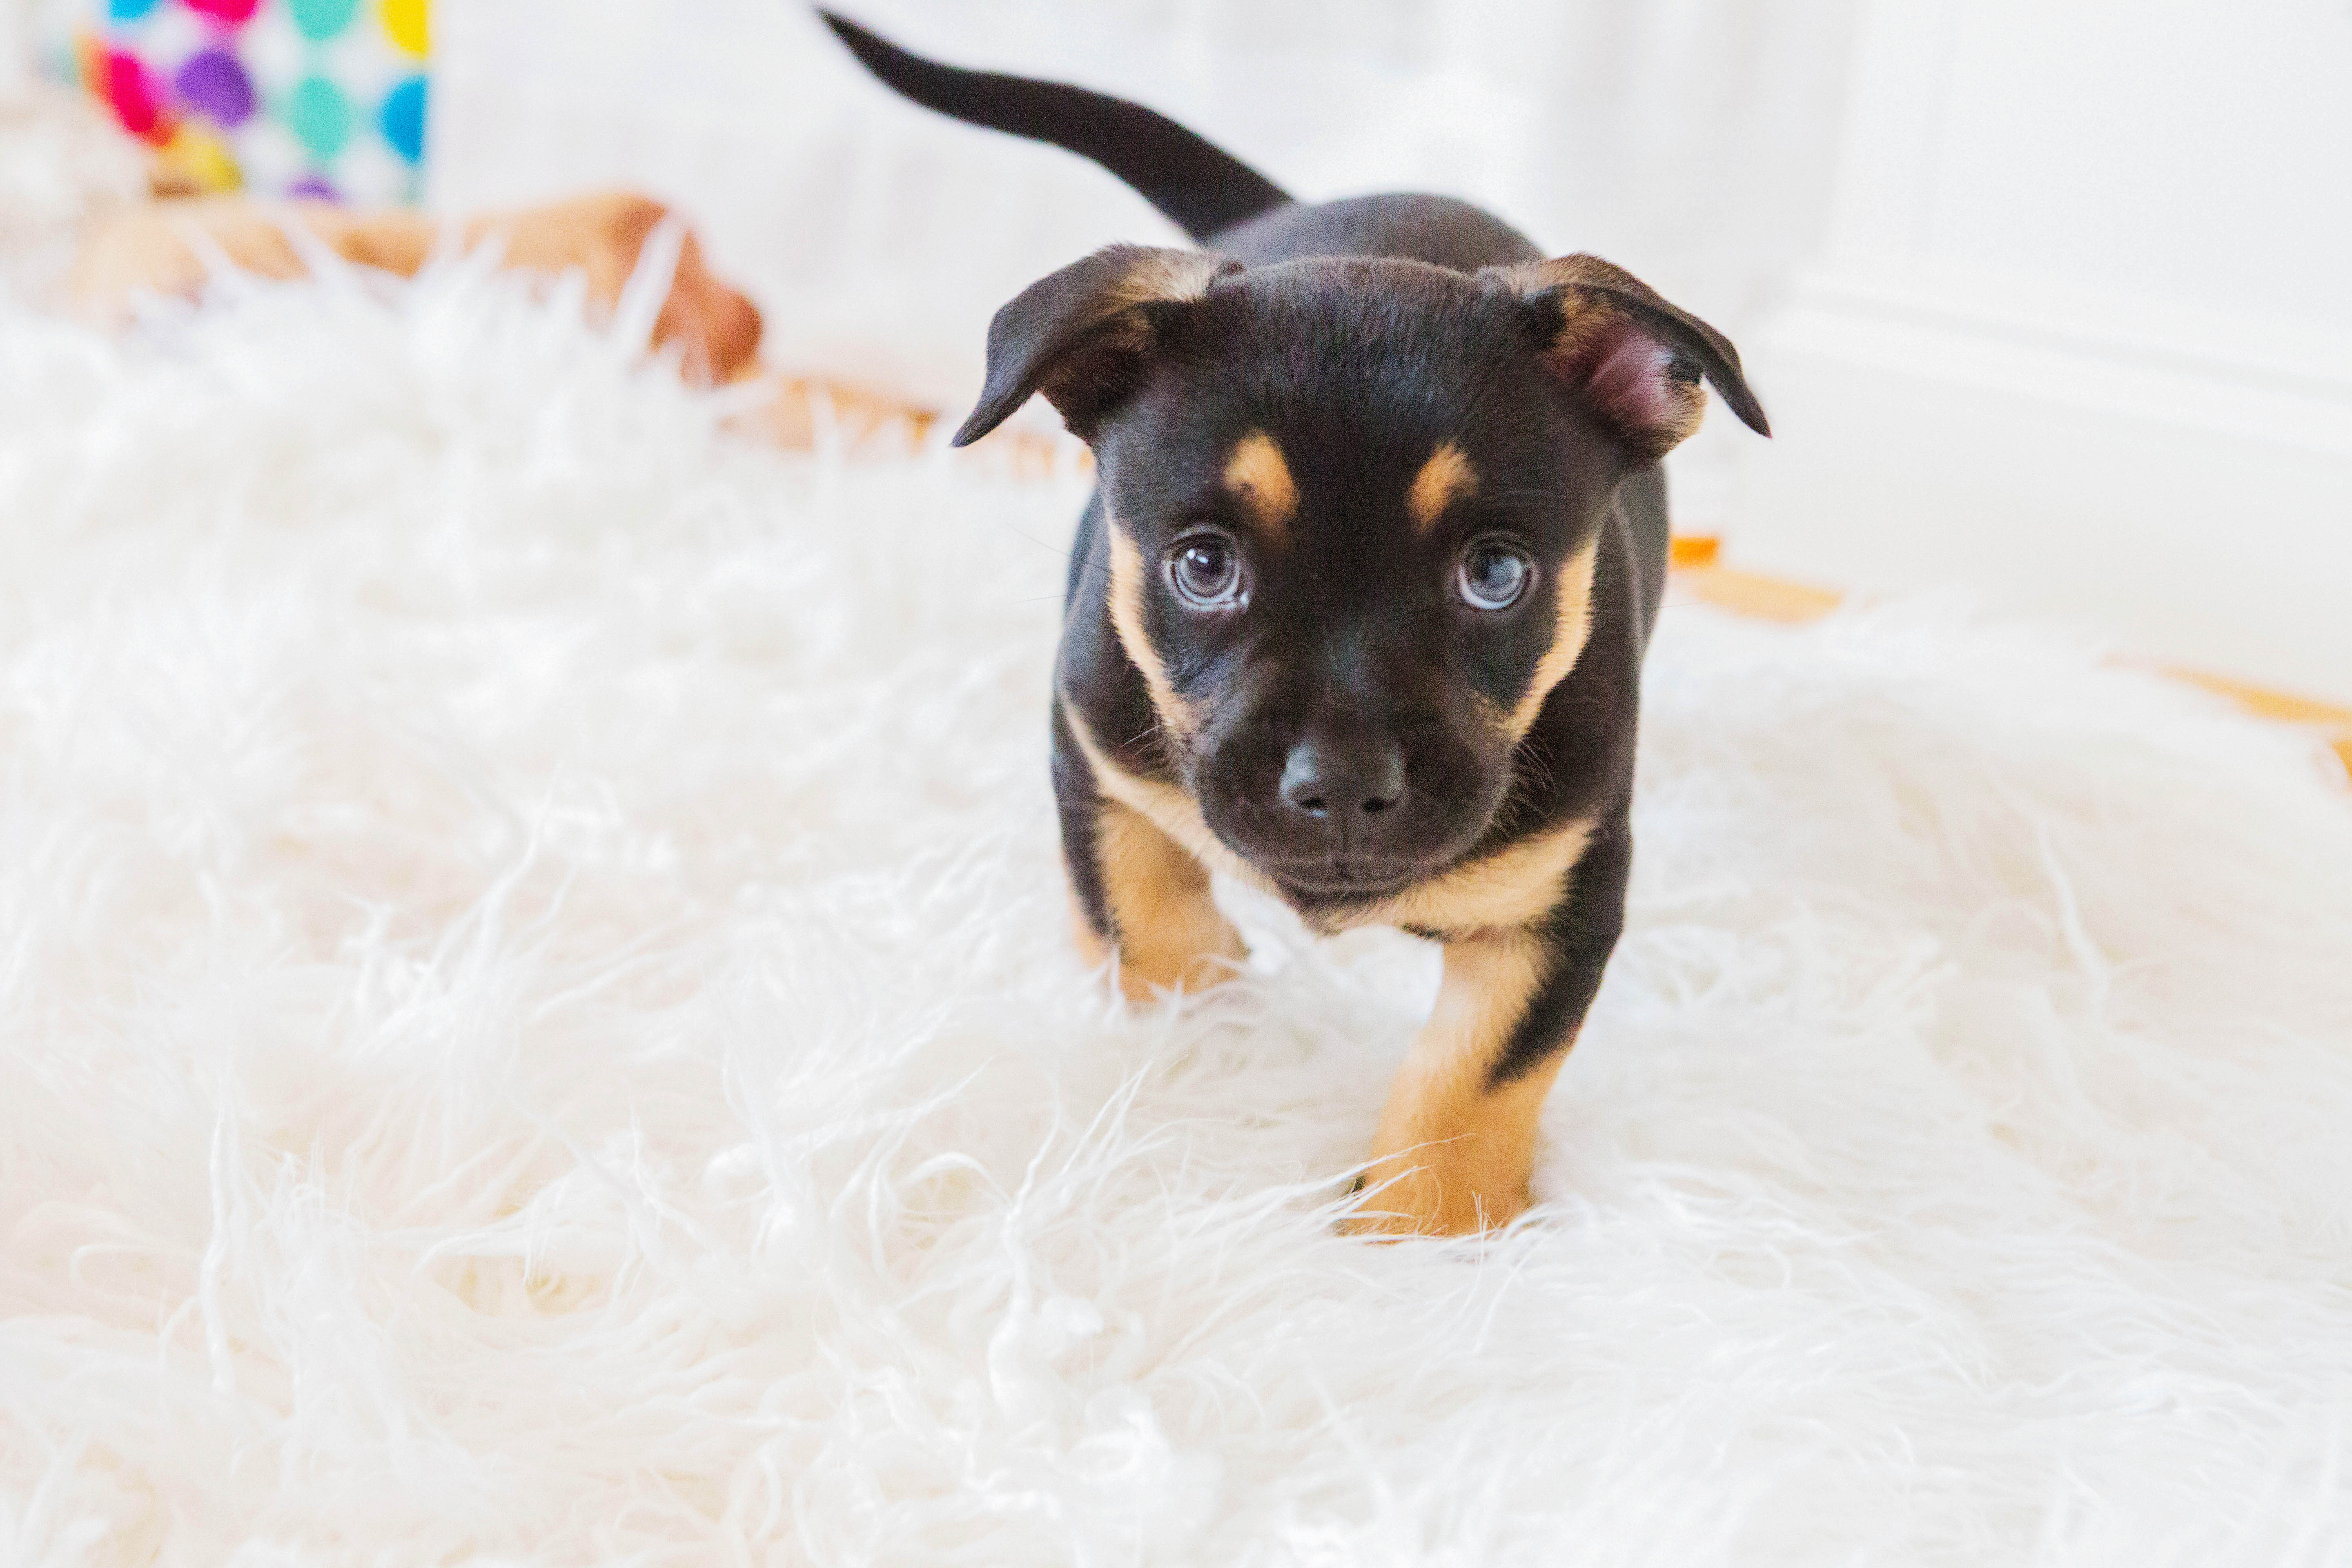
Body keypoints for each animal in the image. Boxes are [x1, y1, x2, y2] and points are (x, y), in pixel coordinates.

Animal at [828, 12, 1768, 1241]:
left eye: (1496, 573)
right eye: (1202, 566)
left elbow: (1475, 1078)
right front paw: (1203, 1029)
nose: (1340, 786)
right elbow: (1141, 918)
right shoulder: (1091, 751)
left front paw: (1420, 1231)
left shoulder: (1568, 892)